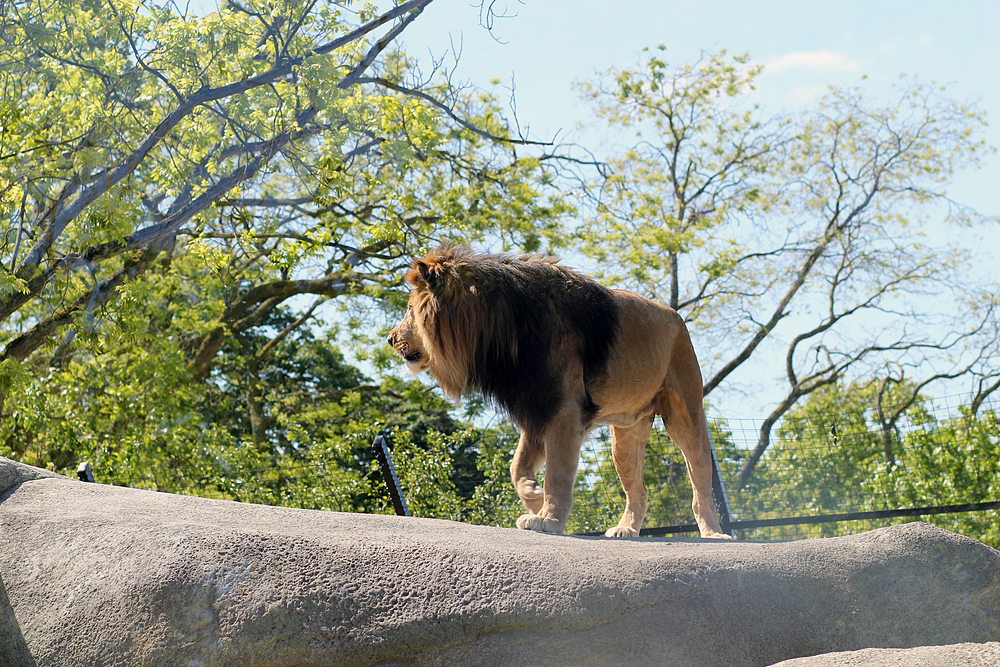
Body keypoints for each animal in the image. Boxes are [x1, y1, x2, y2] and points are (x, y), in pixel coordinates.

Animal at [386, 248, 732, 540]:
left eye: (409, 310)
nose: (390, 339)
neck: (498, 330)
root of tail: (675, 315)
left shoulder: (563, 409)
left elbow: (557, 473)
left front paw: (548, 519)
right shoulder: (538, 407)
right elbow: (517, 468)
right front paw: (533, 497)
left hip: (686, 413)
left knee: (701, 481)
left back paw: (714, 533)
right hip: (626, 435)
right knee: (638, 491)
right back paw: (626, 530)